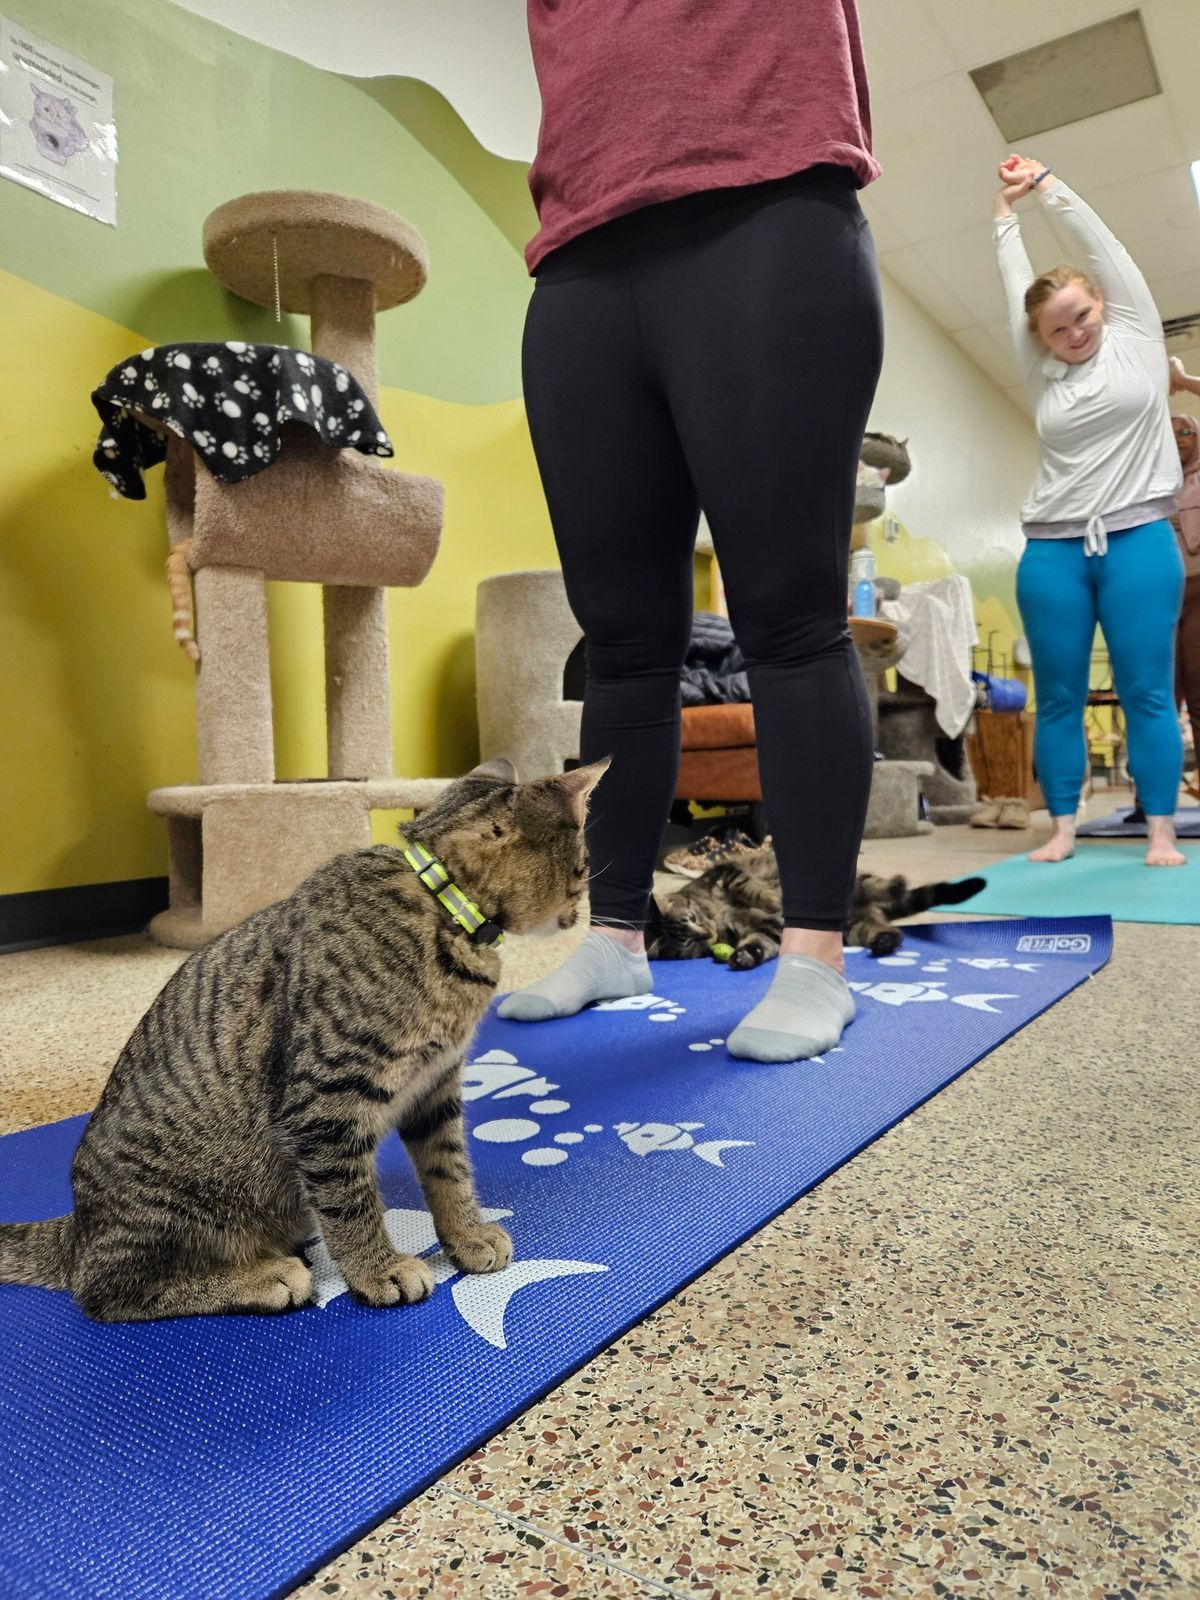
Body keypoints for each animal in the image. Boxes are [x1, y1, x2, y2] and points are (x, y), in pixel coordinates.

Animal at [0, 761, 604, 1324]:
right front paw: (377, 1269)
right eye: (583, 870)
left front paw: (468, 1235)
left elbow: (449, 1171)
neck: (444, 911)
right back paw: (264, 1277)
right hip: (171, 1210)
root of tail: (77, 1227)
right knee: (105, 1292)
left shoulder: (435, 1088)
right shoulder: (324, 1104)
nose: (583, 912)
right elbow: (350, 1201)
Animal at [652, 857, 992, 966]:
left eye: (693, 918)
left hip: (857, 884)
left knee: (889, 888)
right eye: (686, 942)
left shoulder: (729, 871)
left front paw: (773, 899)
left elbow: (750, 888)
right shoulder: (761, 929)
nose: (707, 933)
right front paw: (746, 956)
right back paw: (884, 941)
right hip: (854, 929)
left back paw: (897, 883)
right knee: (887, 931)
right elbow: (762, 941)